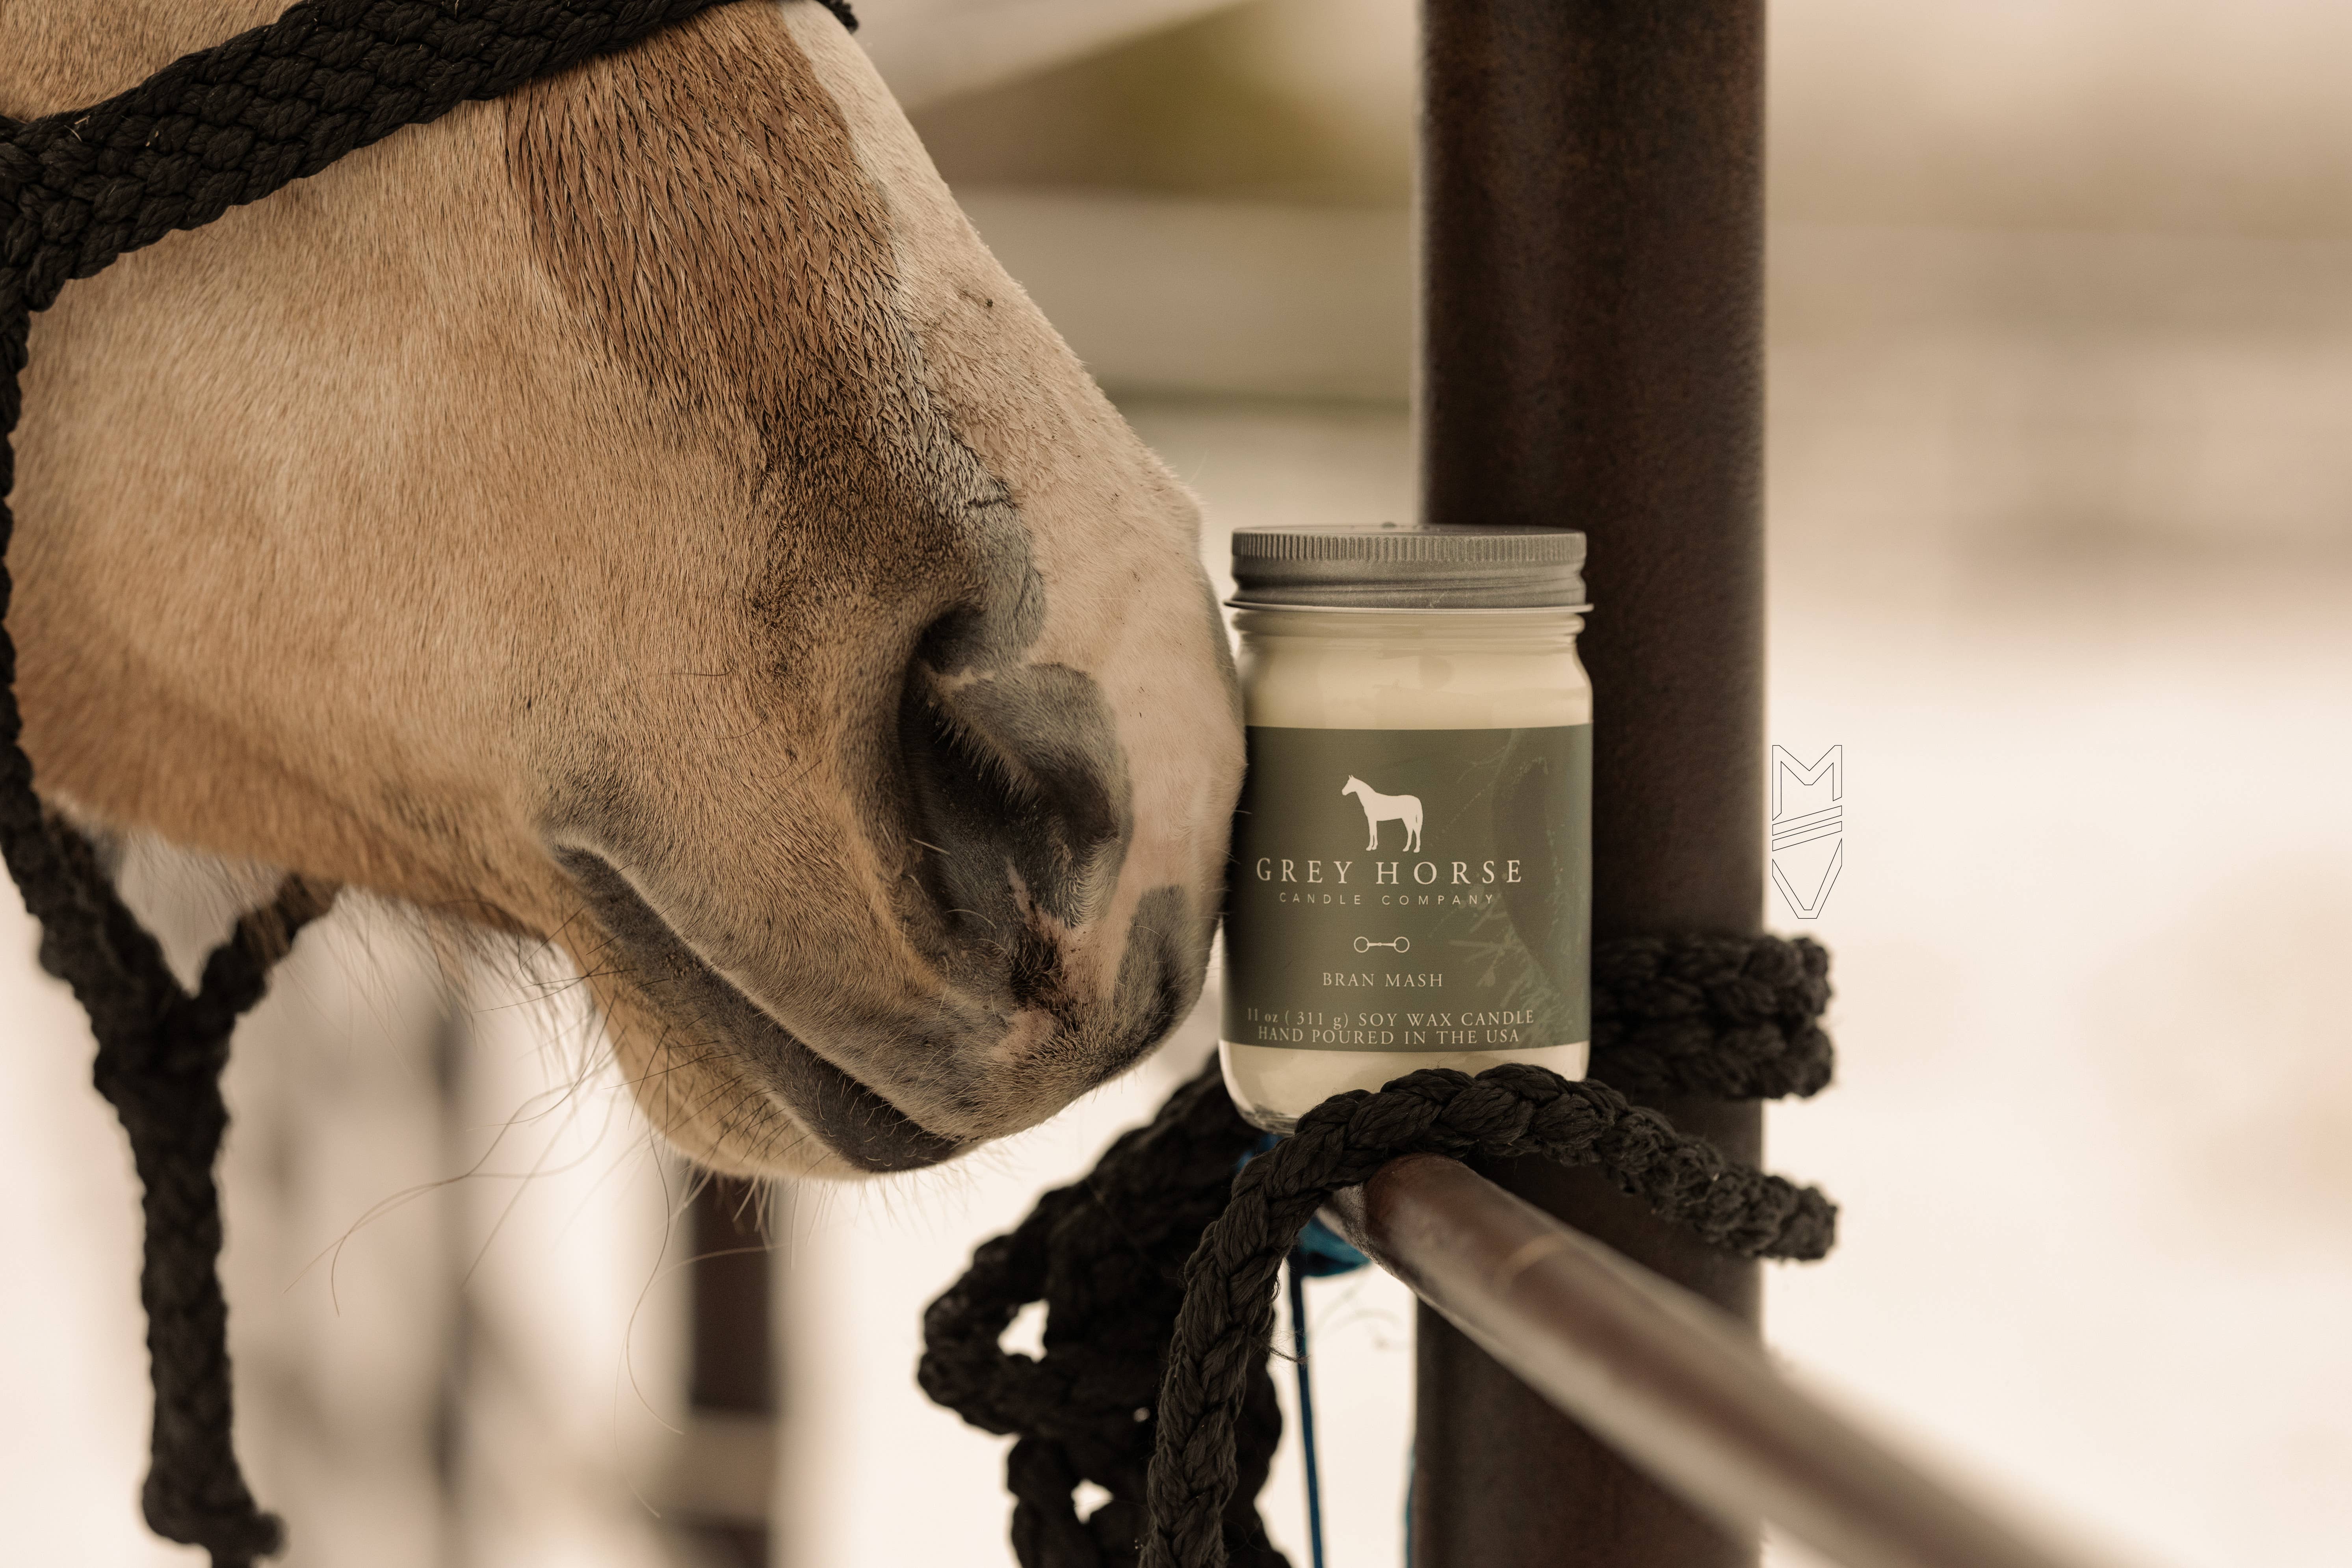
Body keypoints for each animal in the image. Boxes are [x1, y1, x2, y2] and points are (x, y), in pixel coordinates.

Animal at [1341, 775, 1421, 852]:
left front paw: (1370, 848)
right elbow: (1375, 832)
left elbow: (1372, 832)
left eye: (1350, 784)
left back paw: (1417, 849)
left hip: (1410, 819)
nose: (1343, 792)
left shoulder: (1371, 819)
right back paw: (1406, 848)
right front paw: (1374, 847)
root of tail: (1416, 800)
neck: (1370, 800)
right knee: (1410, 831)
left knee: (1416, 830)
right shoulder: (1374, 820)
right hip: (1406, 819)